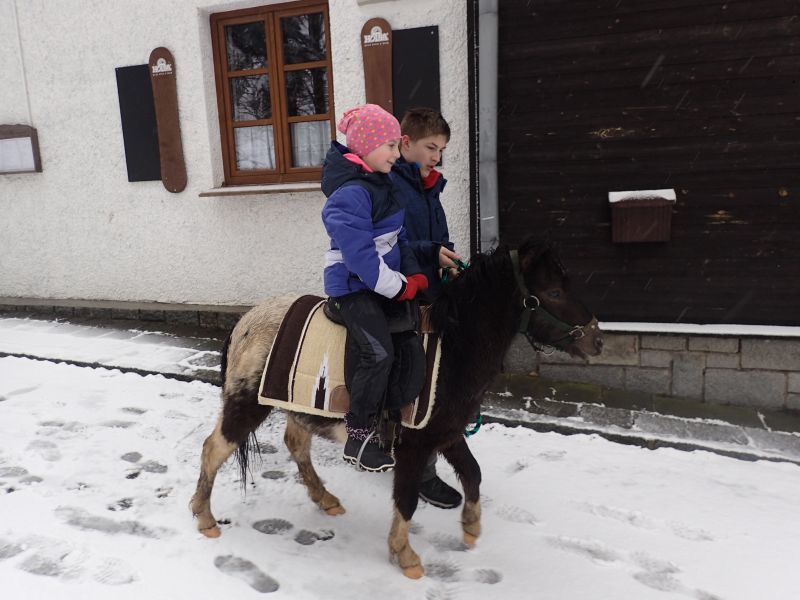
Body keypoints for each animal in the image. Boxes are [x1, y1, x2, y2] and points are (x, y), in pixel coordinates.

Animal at [190, 237, 603, 579]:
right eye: (553, 291)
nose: (597, 341)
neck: (452, 348)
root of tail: (245, 321)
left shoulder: (446, 432)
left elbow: (473, 473)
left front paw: (471, 528)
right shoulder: (413, 445)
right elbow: (406, 500)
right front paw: (406, 556)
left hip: (299, 407)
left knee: (296, 443)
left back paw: (325, 499)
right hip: (247, 404)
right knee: (214, 448)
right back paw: (205, 517)